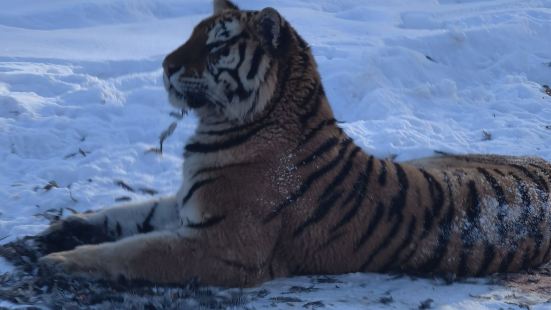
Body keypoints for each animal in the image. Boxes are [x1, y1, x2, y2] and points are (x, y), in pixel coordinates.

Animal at [40, 0, 551, 286]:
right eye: (191, 35)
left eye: (215, 46)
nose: (165, 65)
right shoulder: (188, 203)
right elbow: (127, 214)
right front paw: (63, 229)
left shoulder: (223, 244)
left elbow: (136, 250)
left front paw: (61, 261)